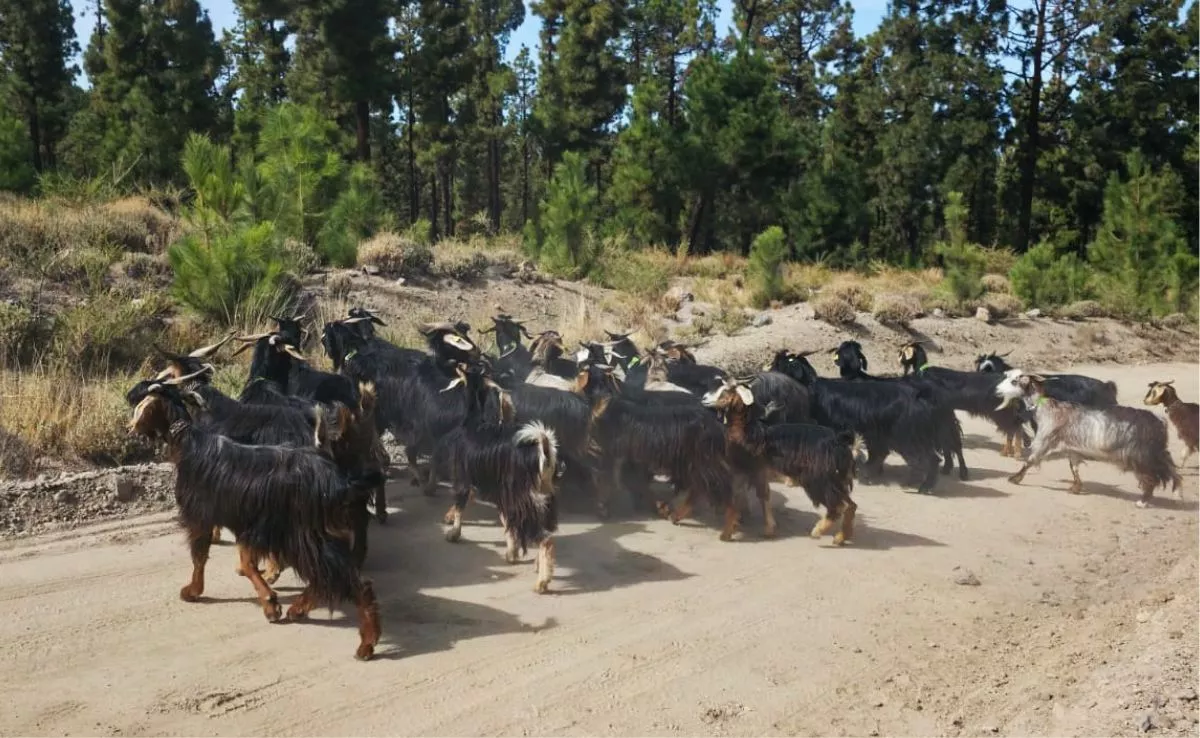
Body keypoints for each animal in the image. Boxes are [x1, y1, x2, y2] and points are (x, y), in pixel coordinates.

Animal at [127, 379, 382, 660]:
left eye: (143, 404)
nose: (130, 427)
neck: (190, 443)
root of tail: (340, 482)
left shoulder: (202, 515)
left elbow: (201, 556)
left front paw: (194, 591)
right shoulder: (247, 525)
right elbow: (246, 562)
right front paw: (270, 601)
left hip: (308, 537)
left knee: (353, 583)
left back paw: (366, 643)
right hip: (318, 537)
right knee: (327, 577)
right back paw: (298, 609)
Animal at [427, 364, 560, 593]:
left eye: (460, 381)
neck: (475, 423)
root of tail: (543, 450)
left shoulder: (464, 478)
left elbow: (461, 505)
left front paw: (453, 533)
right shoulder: (500, 492)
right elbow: (506, 522)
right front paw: (511, 553)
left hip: (526, 501)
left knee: (546, 540)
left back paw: (542, 583)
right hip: (544, 498)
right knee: (547, 532)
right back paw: (541, 567)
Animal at [576, 364, 739, 539]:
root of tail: (716, 422)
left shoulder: (617, 456)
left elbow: (615, 481)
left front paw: (603, 509)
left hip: (704, 461)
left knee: (722, 489)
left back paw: (727, 530)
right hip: (695, 462)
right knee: (698, 488)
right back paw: (678, 515)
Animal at [702, 379, 857, 543]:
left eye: (726, 391)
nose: (704, 399)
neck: (746, 432)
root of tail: (840, 442)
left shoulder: (747, 470)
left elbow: (739, 499)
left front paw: (726, 534)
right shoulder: (756, 472)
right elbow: (762, 495)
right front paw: (769, 529)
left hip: (818, 478)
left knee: (839, 506)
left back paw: (818, 531)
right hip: (835, 479)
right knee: (851, 505)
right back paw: (841, 537)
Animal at [997, 370, 1181, 507]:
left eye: (1015, 381)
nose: (998, 390)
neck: (1045, 406)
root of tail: (1159, 424)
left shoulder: (1045, 439)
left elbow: (1030, 460)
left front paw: (1014, 478)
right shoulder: (1072, 449)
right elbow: (1074, 468)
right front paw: (1075, 487)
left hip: (1140, 456)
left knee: (1152, 478)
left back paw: (1143, 501)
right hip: (1154, 454)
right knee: (1169, 471)